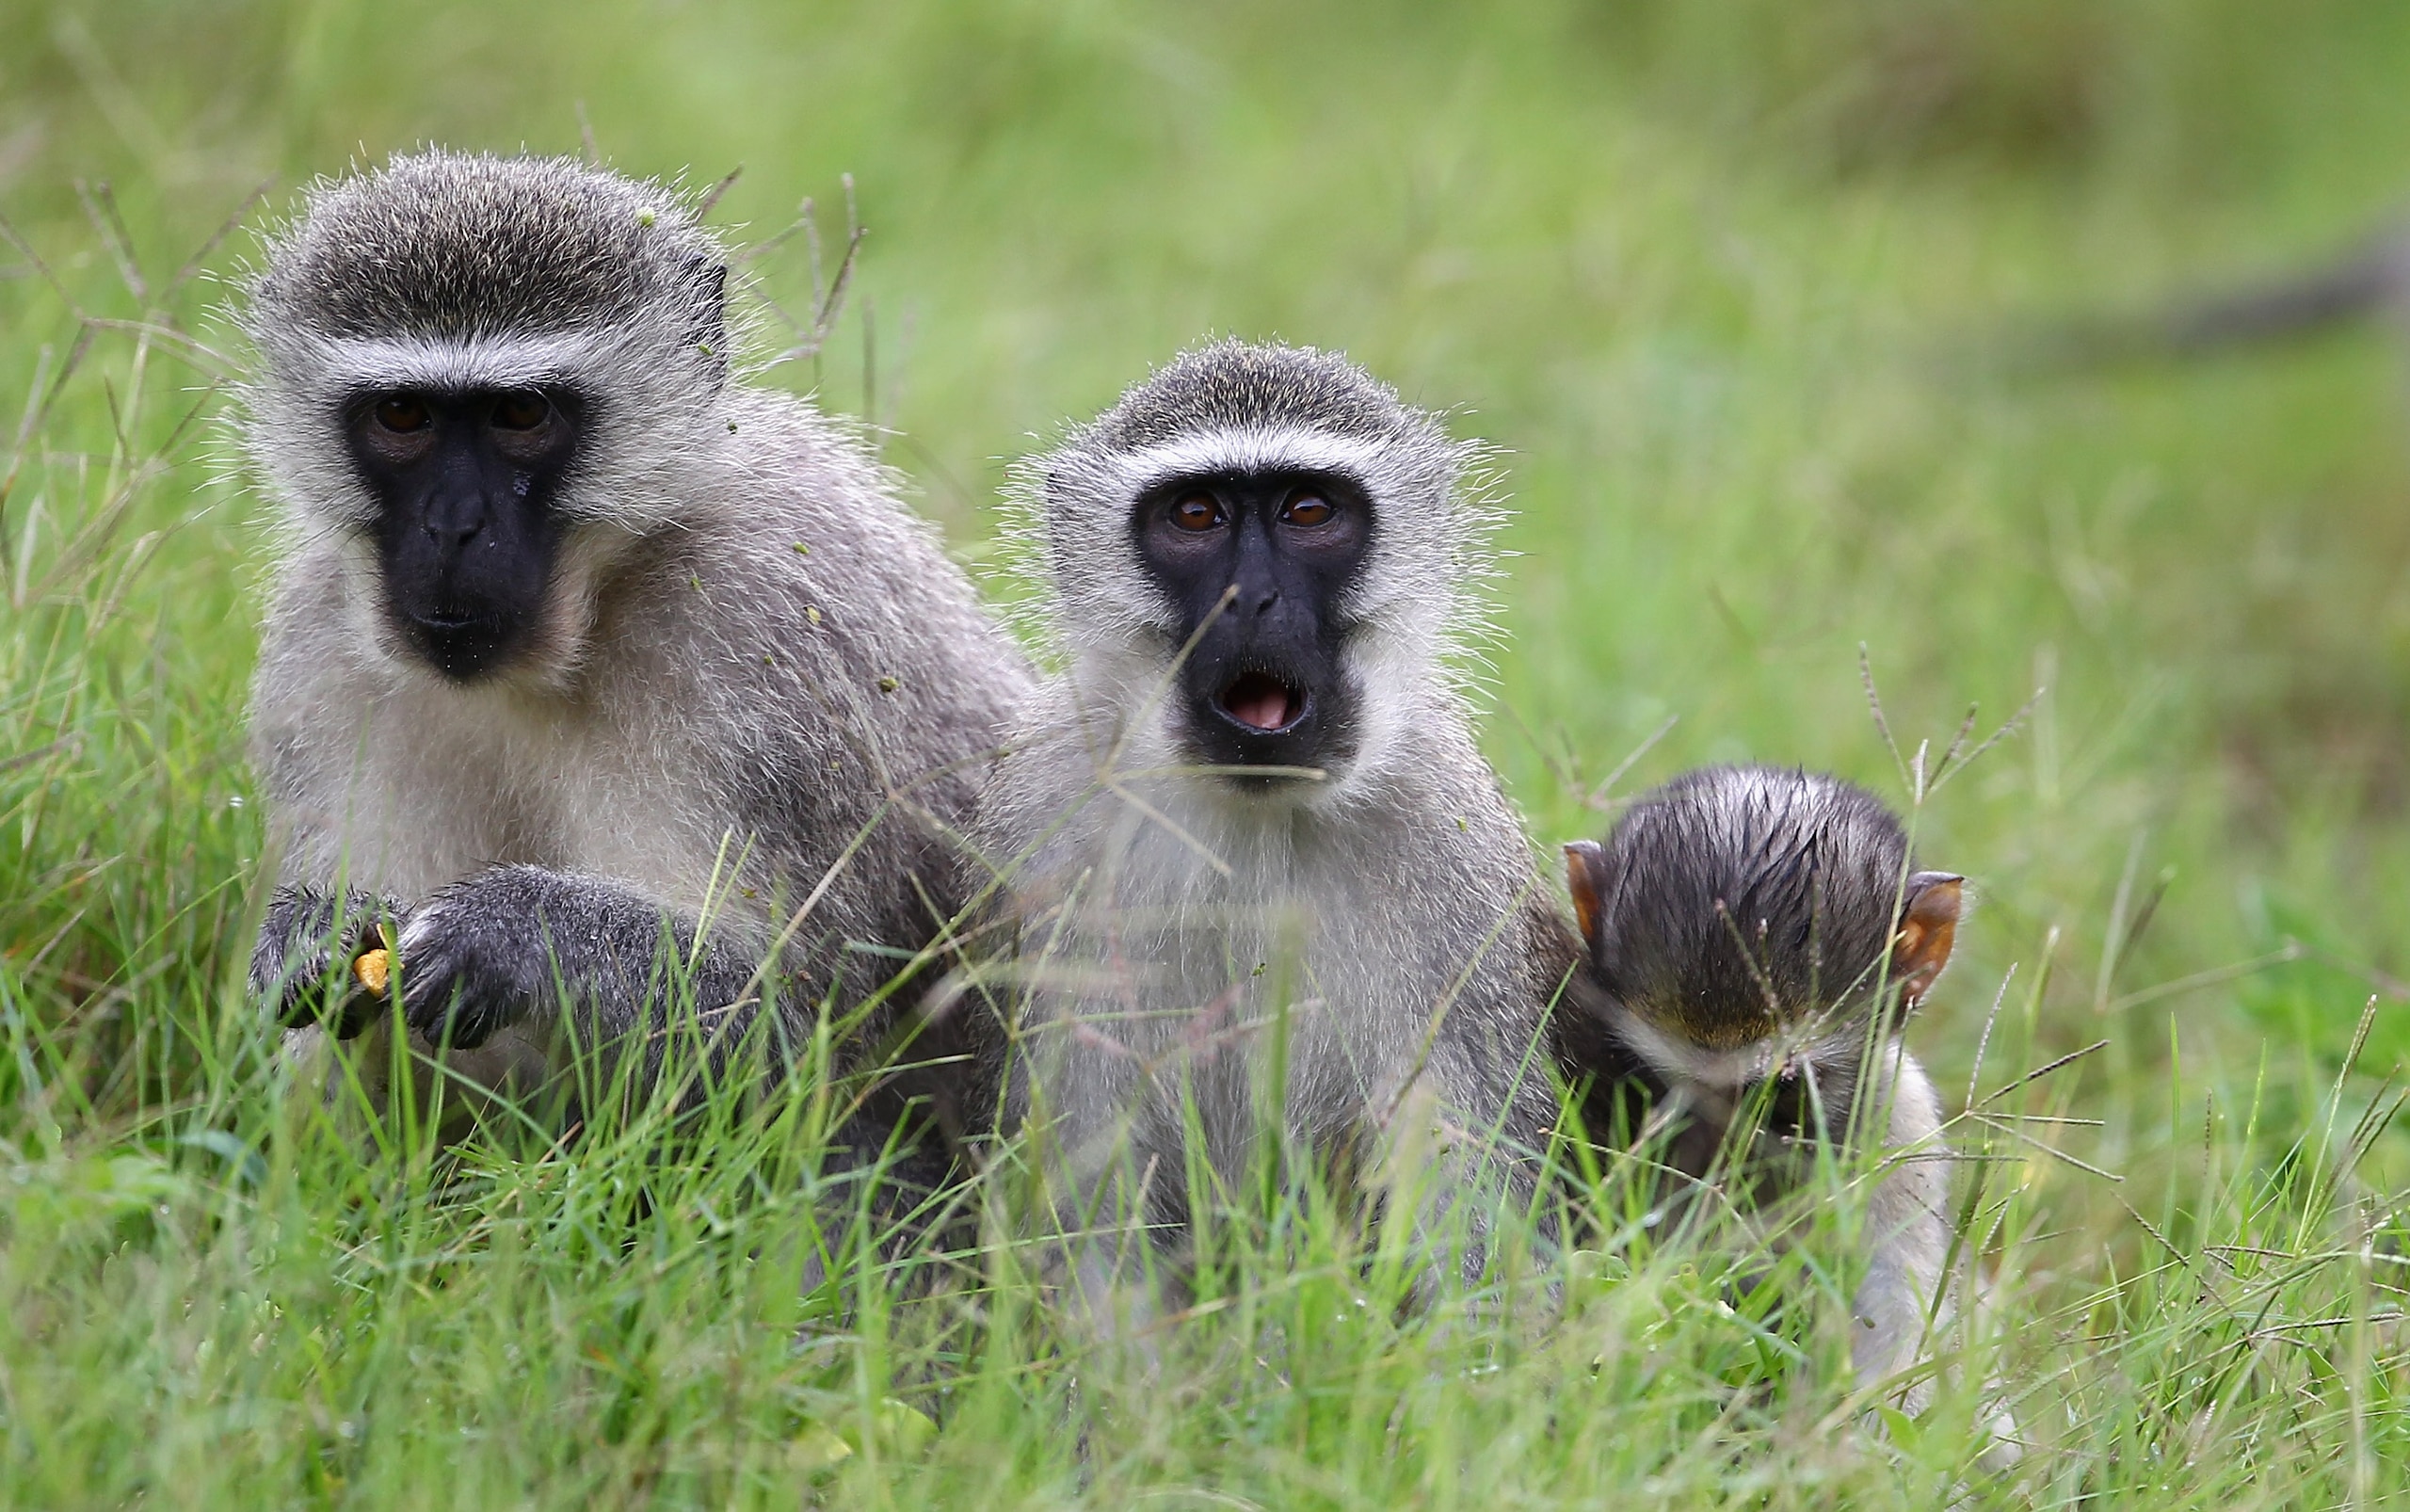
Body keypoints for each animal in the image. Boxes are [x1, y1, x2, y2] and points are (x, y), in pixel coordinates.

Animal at [237, 150, 1032, 1186]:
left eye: (521, 412)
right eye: (402, 414)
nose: (453, 527)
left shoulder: (768, 652)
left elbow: (798, 1043)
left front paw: (518, 932)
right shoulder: (321, 655)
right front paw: (311, 930)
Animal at [965, 339, 1573, 1335]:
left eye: (1310, 511)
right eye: (1196, 515)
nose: (1249, 600)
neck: (1253, 816)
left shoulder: (1453, 855)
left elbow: (1475, 1212)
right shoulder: (1047, 832)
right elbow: (1084, 1214)